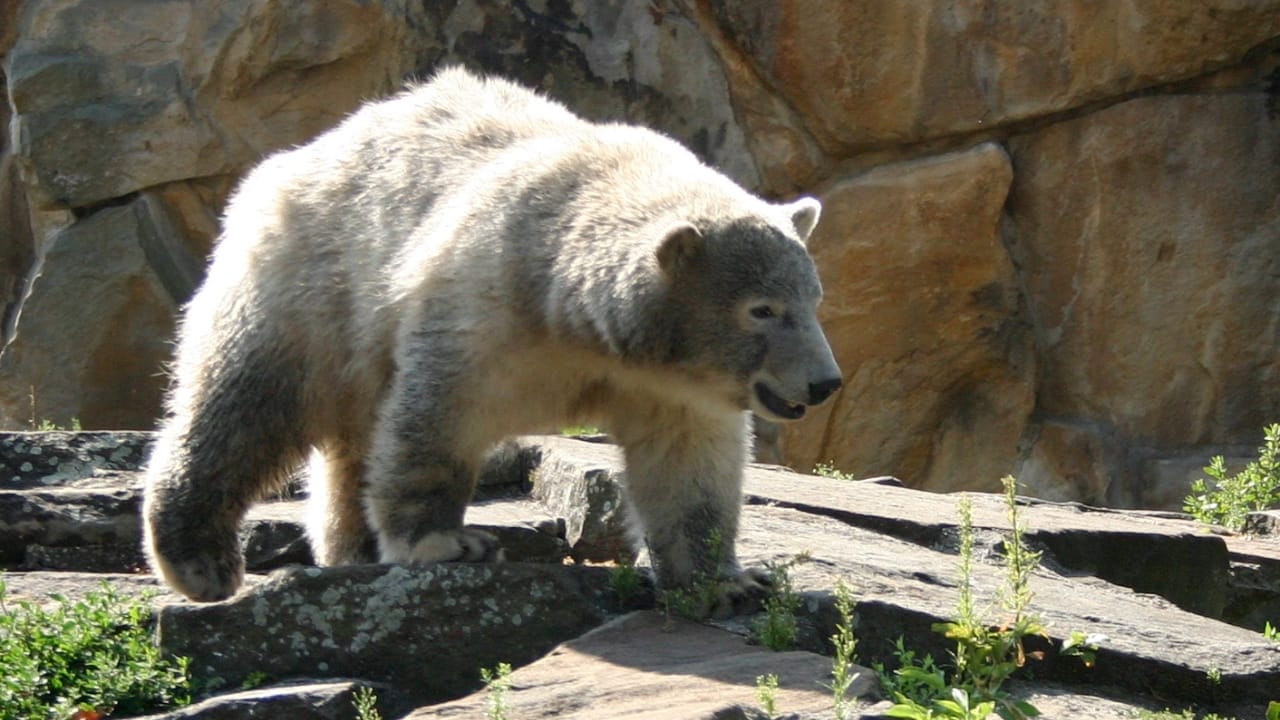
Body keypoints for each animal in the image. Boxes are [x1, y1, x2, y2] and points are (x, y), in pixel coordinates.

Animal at [142, 67, 843, 609]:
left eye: (813, 300)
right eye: (762, 309)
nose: (824, 381)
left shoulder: (670, 383)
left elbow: (687, 461)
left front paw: (728, 581)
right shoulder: (487, 302)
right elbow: (437, 417)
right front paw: (448, 544)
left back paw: (351, 547)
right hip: (312, 281)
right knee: (250, 400)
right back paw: (198, 557)